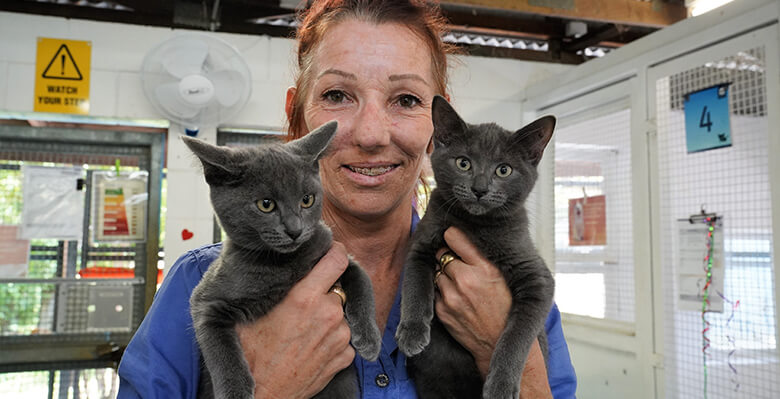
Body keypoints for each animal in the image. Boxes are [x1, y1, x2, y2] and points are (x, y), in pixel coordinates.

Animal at [181, 122, 380, 399]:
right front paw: (235, 390)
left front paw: (369, 339)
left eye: (307, 200)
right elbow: (218, 343)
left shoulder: (335, 253)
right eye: (266, 204)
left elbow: (362, 281)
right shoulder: (206, 300)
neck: (284, 264)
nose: (295, 230)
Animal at [396, 97, 556, 399]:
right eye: (463, 163)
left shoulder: (537, 277)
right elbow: (415, 284)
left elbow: (516, 334)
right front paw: (412, 332)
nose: (480, 189)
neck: (474, 224)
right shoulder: (421, 243)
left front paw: (501, 384)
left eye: (504, 169)